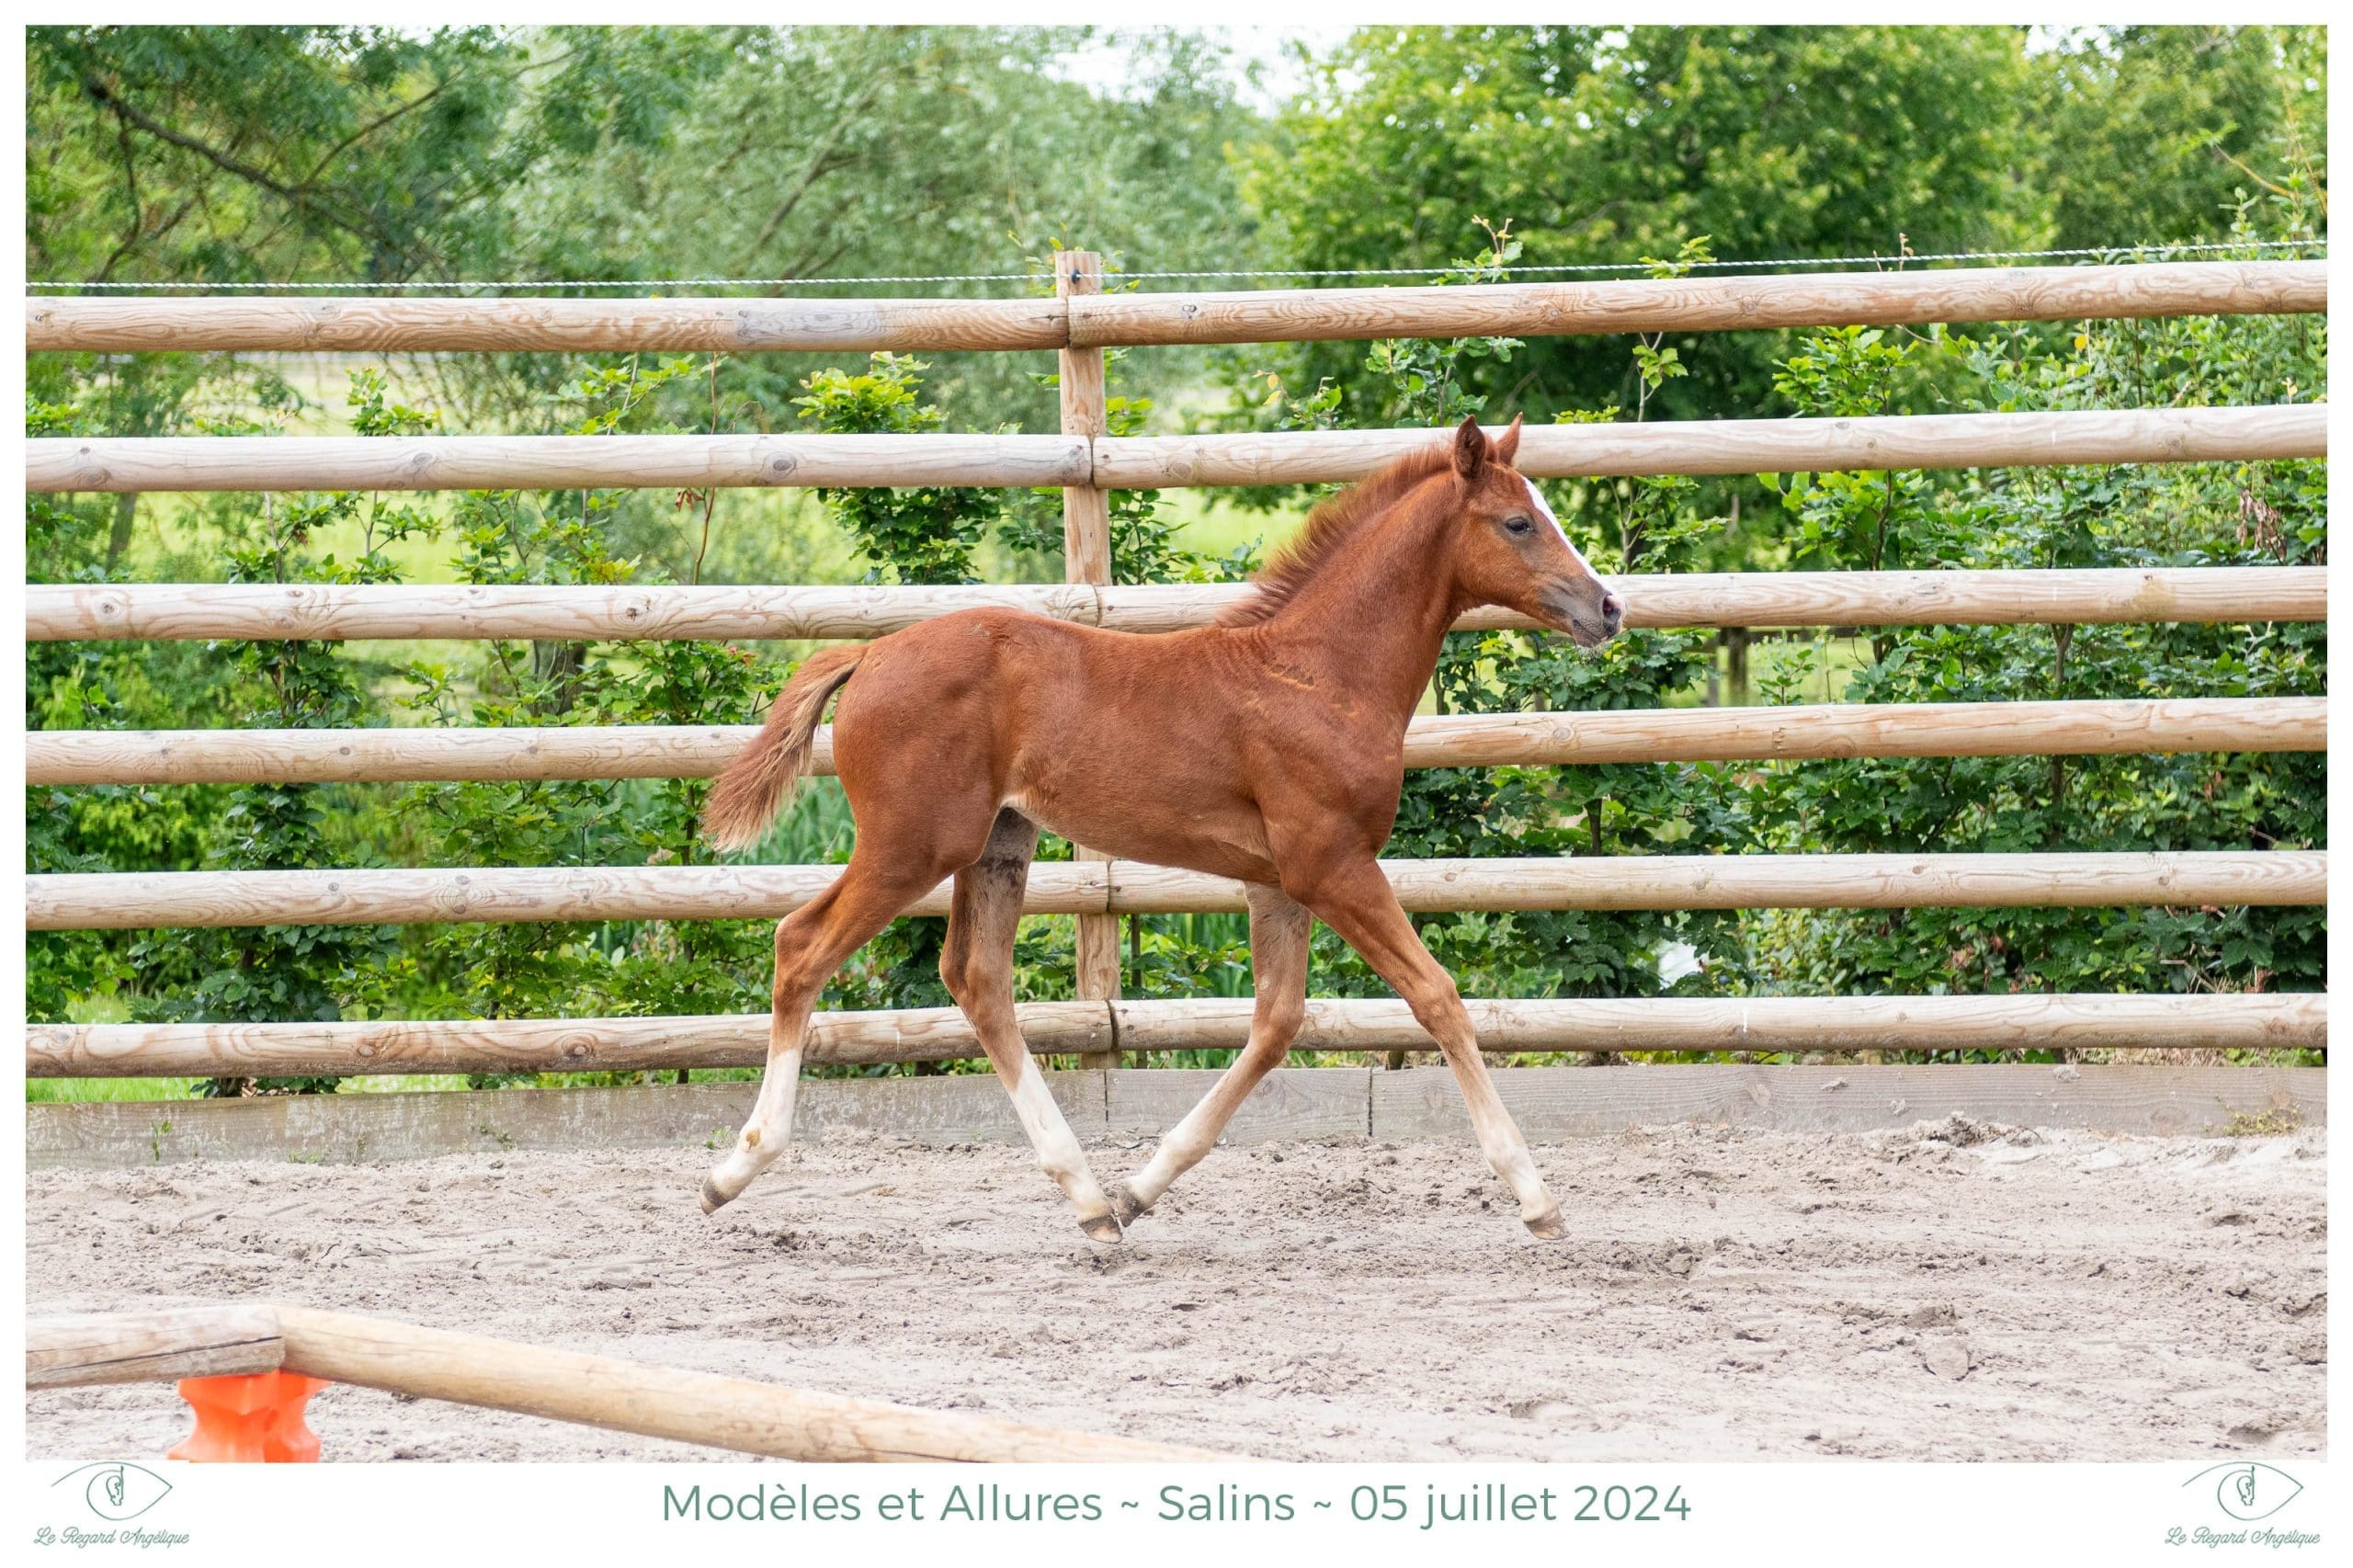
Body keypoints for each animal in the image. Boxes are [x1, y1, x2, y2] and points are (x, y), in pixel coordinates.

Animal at [696, 412, 1619, 1233]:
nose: (1607, 608)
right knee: (802, 947)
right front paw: (1537, 1199)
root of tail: (870, 654)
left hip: (998, 843)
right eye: (1518, 522)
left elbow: (1276, 1025)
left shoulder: (1278, 884)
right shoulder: (1334, 866)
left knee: (977, 980)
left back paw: (1092, 1203)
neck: (1318, 674)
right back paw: (734, 1169)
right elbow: (1437, 998)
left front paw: (1143, 1187)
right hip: (912, 846)